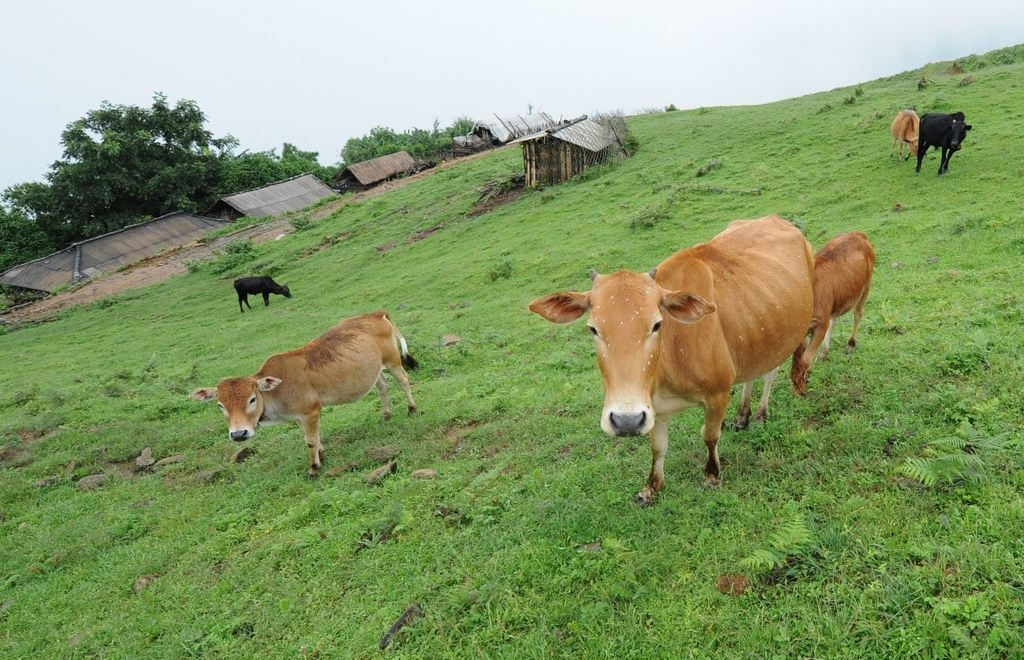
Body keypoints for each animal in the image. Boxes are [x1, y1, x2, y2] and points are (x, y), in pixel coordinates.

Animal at [192, 311, 415, 476]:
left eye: (252, 399)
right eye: (220, 405)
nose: (239, 434)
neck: (276, 393)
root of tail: (375, 313)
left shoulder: (310, 412)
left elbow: (310, 440)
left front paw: (313, 467)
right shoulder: (301, 417)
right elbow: (313, 438)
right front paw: (321, 454)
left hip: (393, 360)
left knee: (404, 381)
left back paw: (411, 408)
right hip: (374, 370)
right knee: (382, 386)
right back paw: (386, 414)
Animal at [532, 215, 811, 505]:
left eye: (657, 324)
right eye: (593, 329)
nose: (626, 421)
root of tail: (776, 219)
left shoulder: (718, 394)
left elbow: (710, 435)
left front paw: (711, 476)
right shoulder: (652, 407)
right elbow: (658, 448)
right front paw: (651, 488)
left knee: (770, 373)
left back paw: (760, 413)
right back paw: (742, 416)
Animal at [786, 231, 876, 397]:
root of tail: (857, 233)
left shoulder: (821, 324)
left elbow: (806, 358)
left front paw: (800, 386)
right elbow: (798, 358)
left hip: (866, 286)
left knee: (858, 314)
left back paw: (850, 345)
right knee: (834, 319)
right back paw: (824, 352)